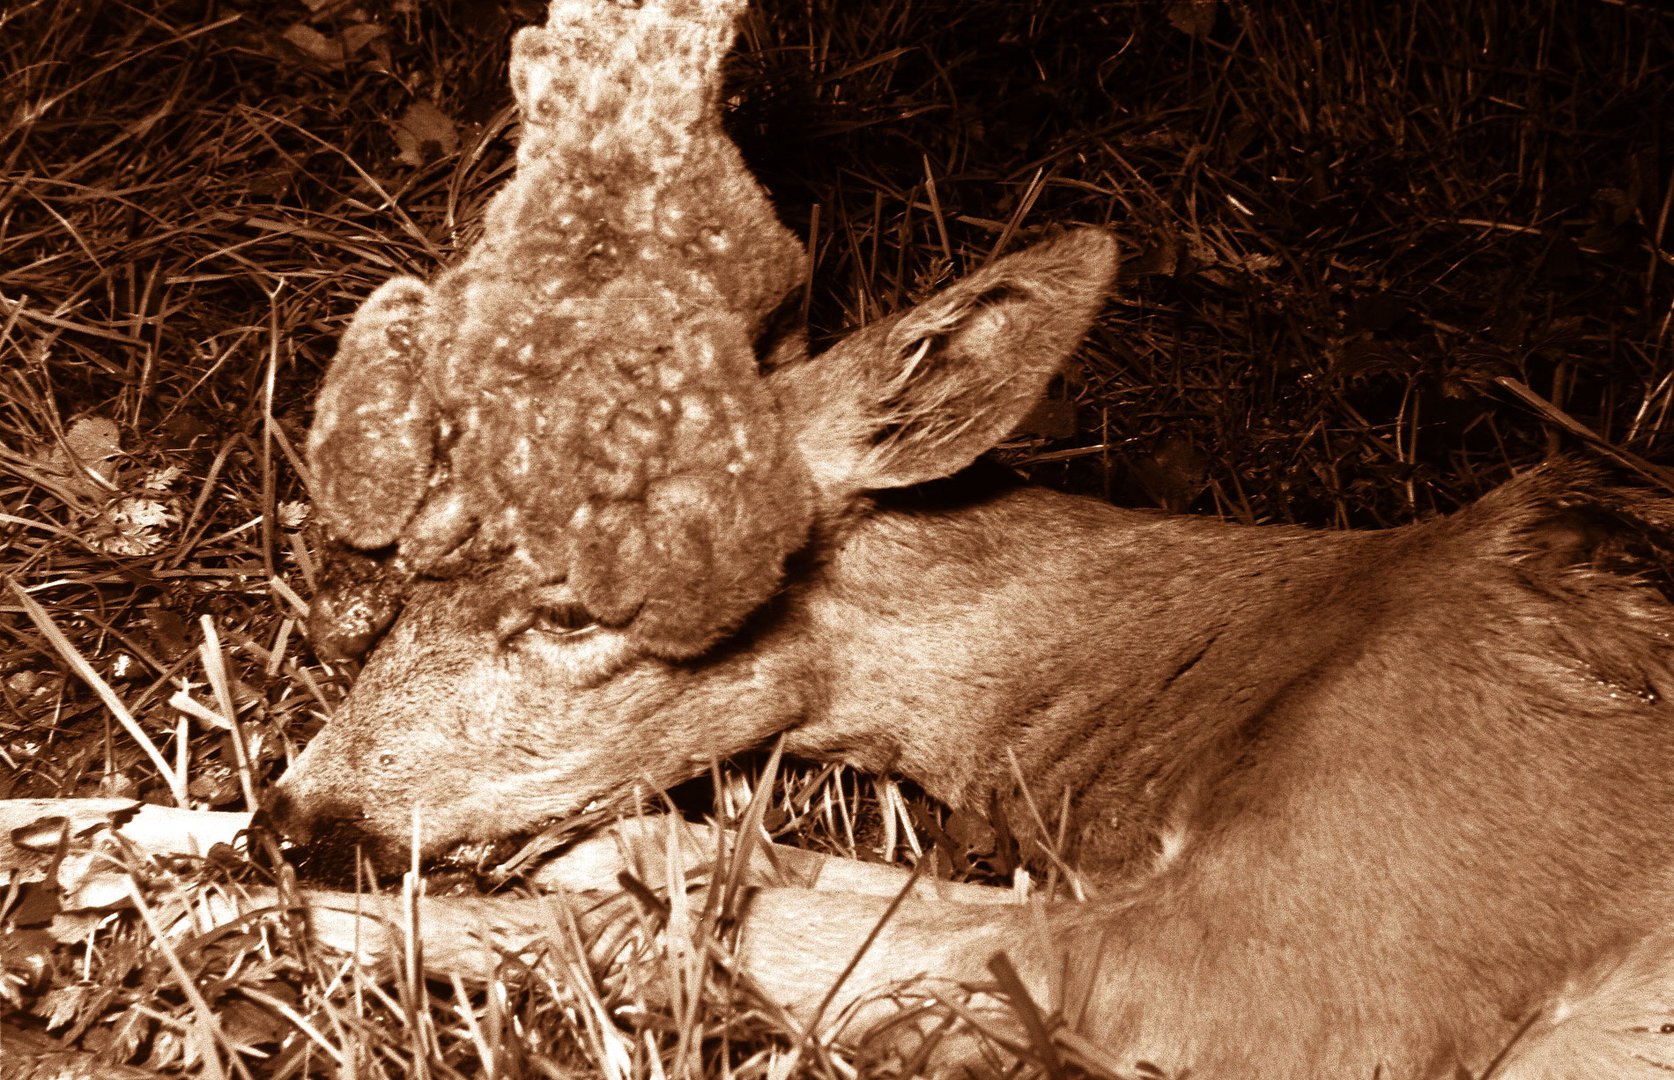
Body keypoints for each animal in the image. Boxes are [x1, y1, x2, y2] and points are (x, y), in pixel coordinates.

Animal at [267, 0, 1674, 1071]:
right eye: (405, 571)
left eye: (571, 608)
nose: (296, 814)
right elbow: (780, 880)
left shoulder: (1319, 957)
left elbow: (690, 941)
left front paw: (262, 908)